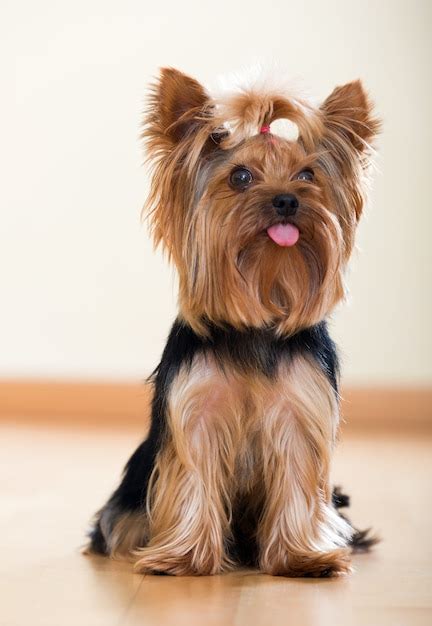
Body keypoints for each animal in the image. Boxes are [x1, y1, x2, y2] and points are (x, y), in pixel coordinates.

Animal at [87, 66, 378, 572]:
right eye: (240, 176)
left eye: (307, 175)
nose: (286, 200)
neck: (257, 320)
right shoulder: (196, 412)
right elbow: (193, 479)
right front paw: (183, 557)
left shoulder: (300, 413)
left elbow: (298, 482)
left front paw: (302, 556)